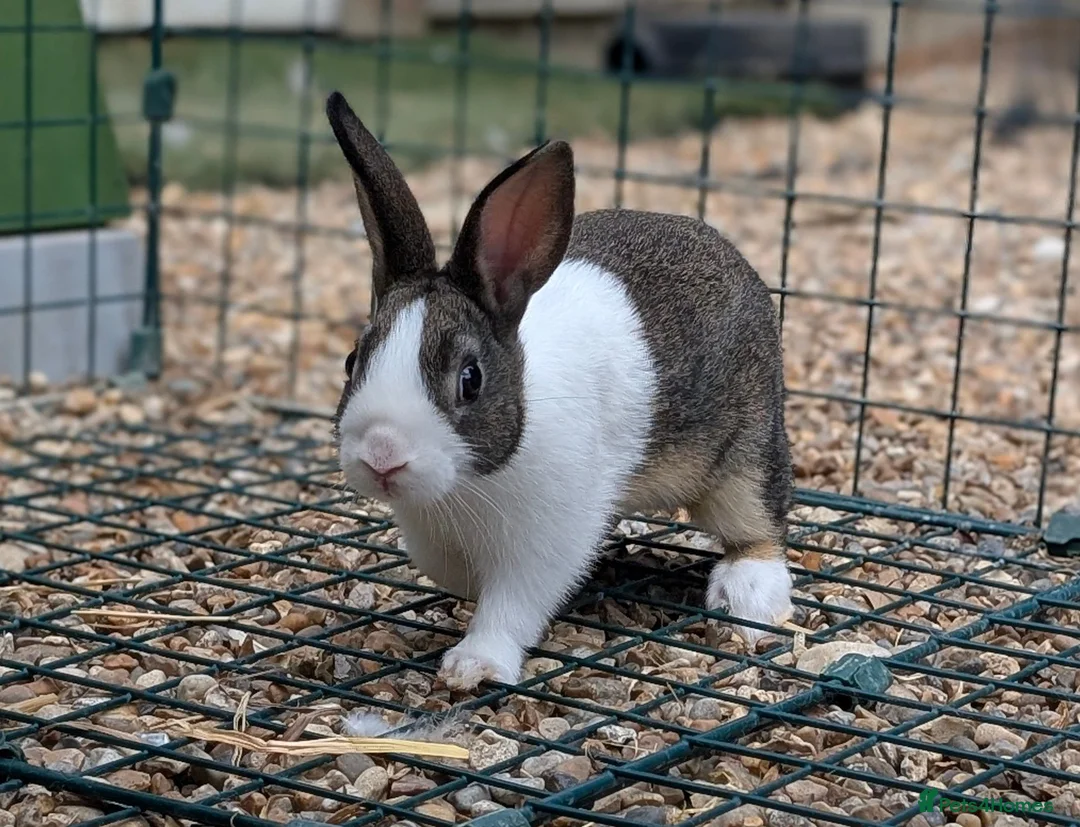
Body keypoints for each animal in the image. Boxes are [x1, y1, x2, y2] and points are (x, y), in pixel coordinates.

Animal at [326, 90, 793, 691]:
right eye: (351, 362)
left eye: (470, 379)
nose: (383, 455)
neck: (469, 485)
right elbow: (457, 576)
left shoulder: (548, 538)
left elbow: (511, 607)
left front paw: (474, 665)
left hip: (746, 452)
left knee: (758, 525)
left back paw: (746, 592)